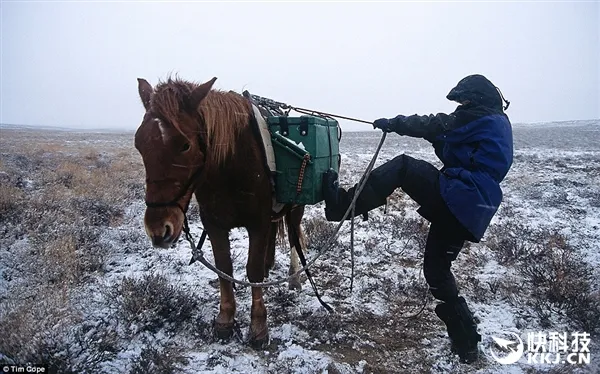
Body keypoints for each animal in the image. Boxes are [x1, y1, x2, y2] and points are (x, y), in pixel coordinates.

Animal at [134, 76, 308, 348]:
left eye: (185, 145)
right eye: (139, 144)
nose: (159, 229)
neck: (230, 166)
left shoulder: (256, 223)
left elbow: (252, 269)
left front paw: (258, 326)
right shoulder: (214, 224)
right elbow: (224, 267)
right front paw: (225, 319)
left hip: (295, 208)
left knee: (293, 237)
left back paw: (293, 278)